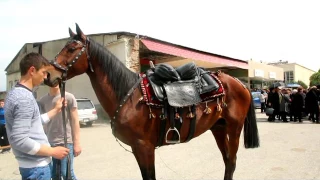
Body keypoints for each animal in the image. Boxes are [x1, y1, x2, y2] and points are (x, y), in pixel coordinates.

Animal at [46, 23, 258, 180]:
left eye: (72, 49)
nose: (49, 75)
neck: (128, 96)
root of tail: (239, 82)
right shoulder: (137, 148)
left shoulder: (144, 147)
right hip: (219, 128)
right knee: (227, 160)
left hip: (234, 128)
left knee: (232, 161)